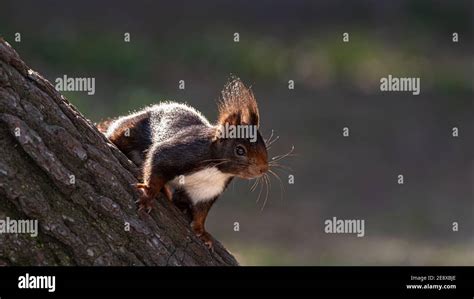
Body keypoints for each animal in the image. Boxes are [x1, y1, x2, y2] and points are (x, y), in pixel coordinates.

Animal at [98, 78, 268, 250]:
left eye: (264, 146)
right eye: (240, 150)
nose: (263, 169)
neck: (215, 170)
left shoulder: (209, 189)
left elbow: (201, 212)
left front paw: (202, 232)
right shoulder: (180, 151)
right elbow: (156, 162)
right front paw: (147, 197)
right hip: (129, 130)